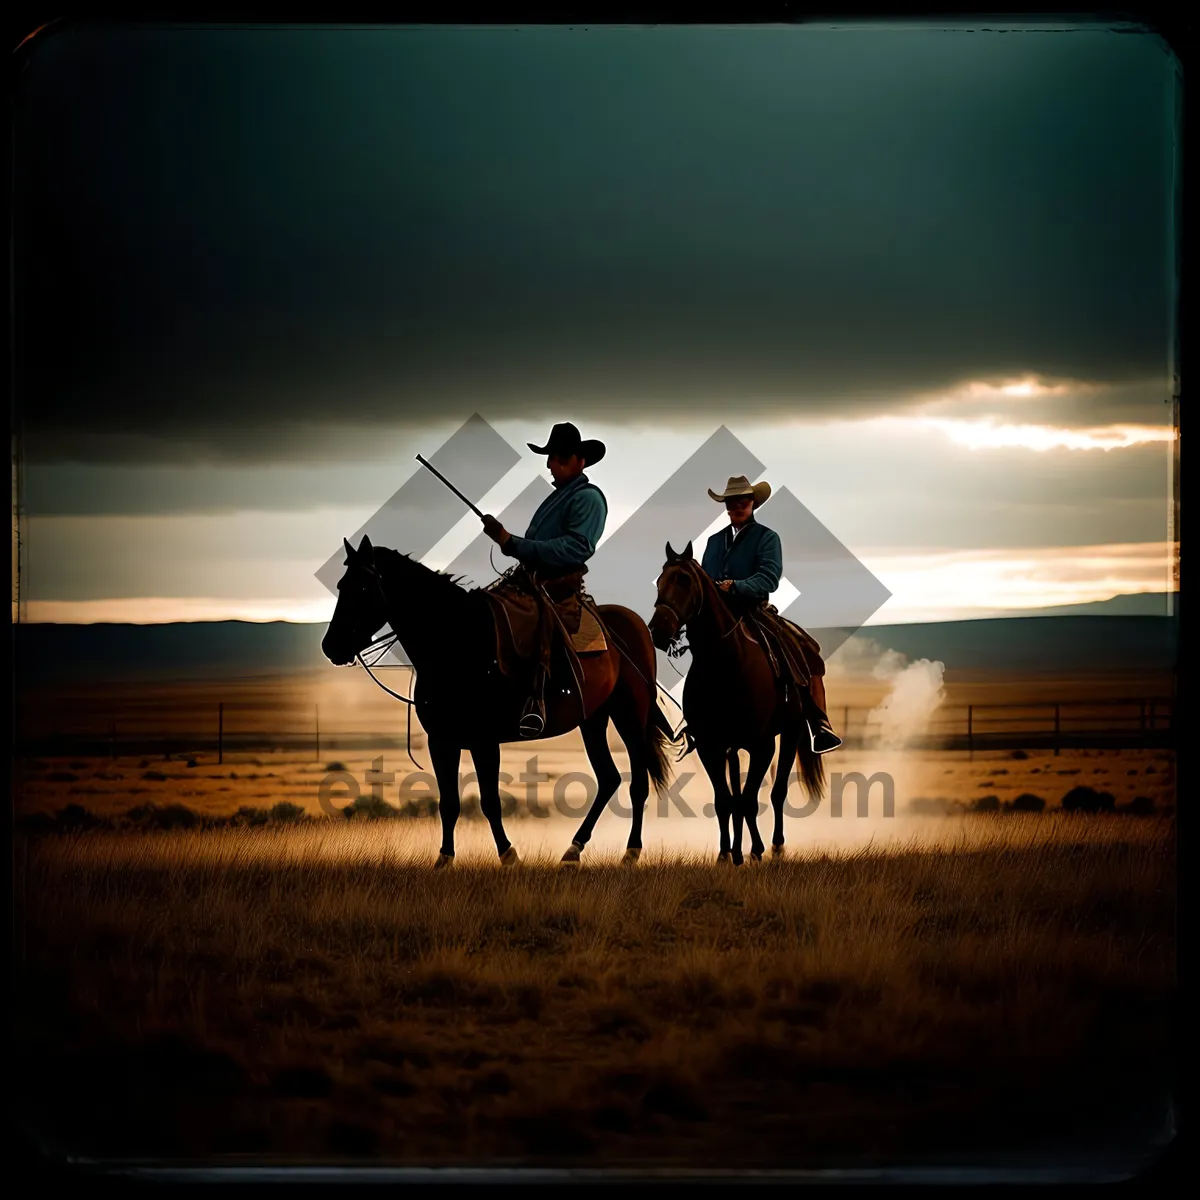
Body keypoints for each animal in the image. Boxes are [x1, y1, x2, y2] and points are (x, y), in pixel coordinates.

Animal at [319, 540, 676, 868]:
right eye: (340, 585)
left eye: (362, 587)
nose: (330, 646)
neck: (454, 643)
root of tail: (637, 625)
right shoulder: (441, 741)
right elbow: (449, 802)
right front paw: (444, 859)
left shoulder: (484, 741)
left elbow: (490, 801)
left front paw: (509, 855)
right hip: (593, 719)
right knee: (608, 778)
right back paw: (573, 851)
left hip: (630, 716)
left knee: (638, 783)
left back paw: (630, 852)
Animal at [648, 542, 825, 864]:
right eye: (659, 582)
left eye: (684, 580)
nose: (658, 631)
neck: (725, 663)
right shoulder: (711, 746)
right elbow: (725, 801)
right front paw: (725, 854)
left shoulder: (762, 746)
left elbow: (749, 800)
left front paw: (755, 851)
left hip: (791, 734)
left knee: (777, 792)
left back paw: (775, 847)